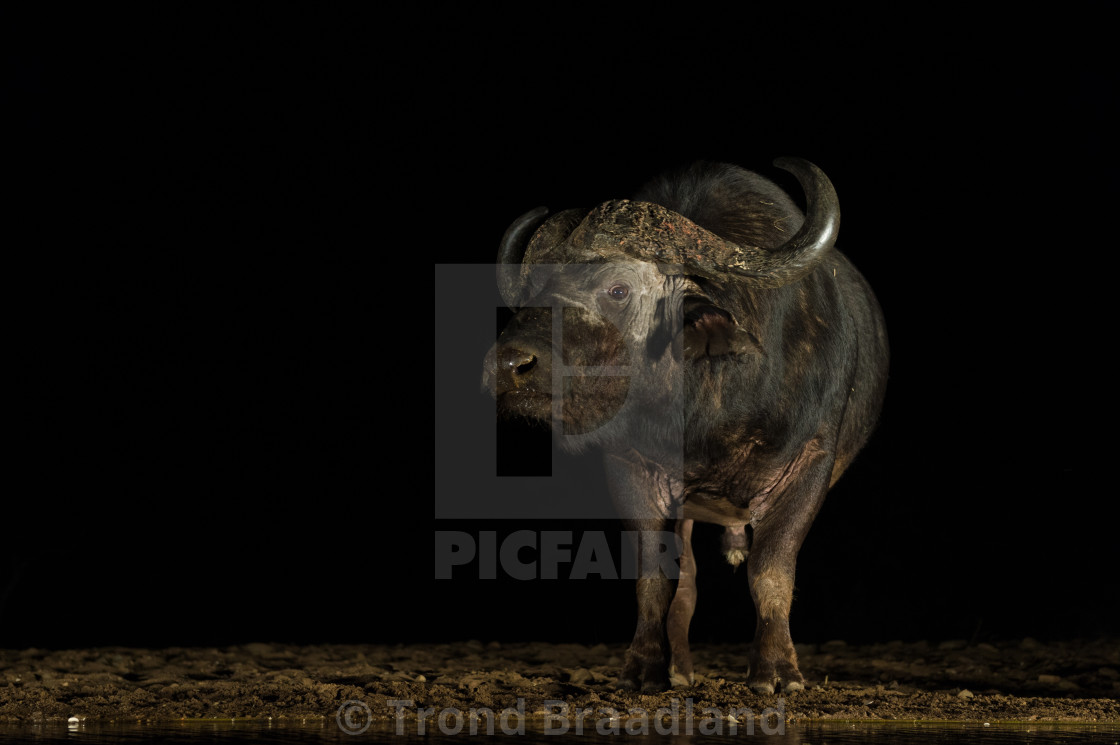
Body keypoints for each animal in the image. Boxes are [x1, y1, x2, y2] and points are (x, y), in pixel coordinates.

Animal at [486, 156, 887, 690]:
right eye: (535, 288)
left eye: (618, 289)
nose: (510, 365)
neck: (707, 408)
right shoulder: (631, 469)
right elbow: (657, 578)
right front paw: (645, 668)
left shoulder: (811, 464)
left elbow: (771, 571)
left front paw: (777, 670)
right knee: (688, 583)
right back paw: (680, 670)